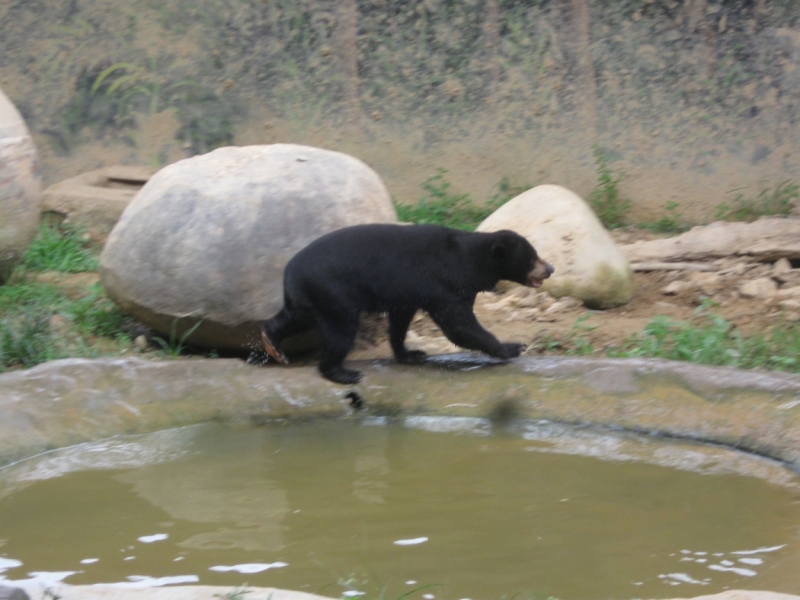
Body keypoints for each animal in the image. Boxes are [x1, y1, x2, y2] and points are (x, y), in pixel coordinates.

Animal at [260, 223, 552, 382]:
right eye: (532, 258)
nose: (550, 268)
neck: (470, 260)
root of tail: (289, 269)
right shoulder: (443, 283)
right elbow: (459, 325)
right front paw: (512, 347)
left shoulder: (409, 290)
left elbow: (401, 319)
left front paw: (411, 353)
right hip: (333, 290)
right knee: (340, 330)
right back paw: (342, 373)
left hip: (308, 293)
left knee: (294, 316)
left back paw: (273, 344)